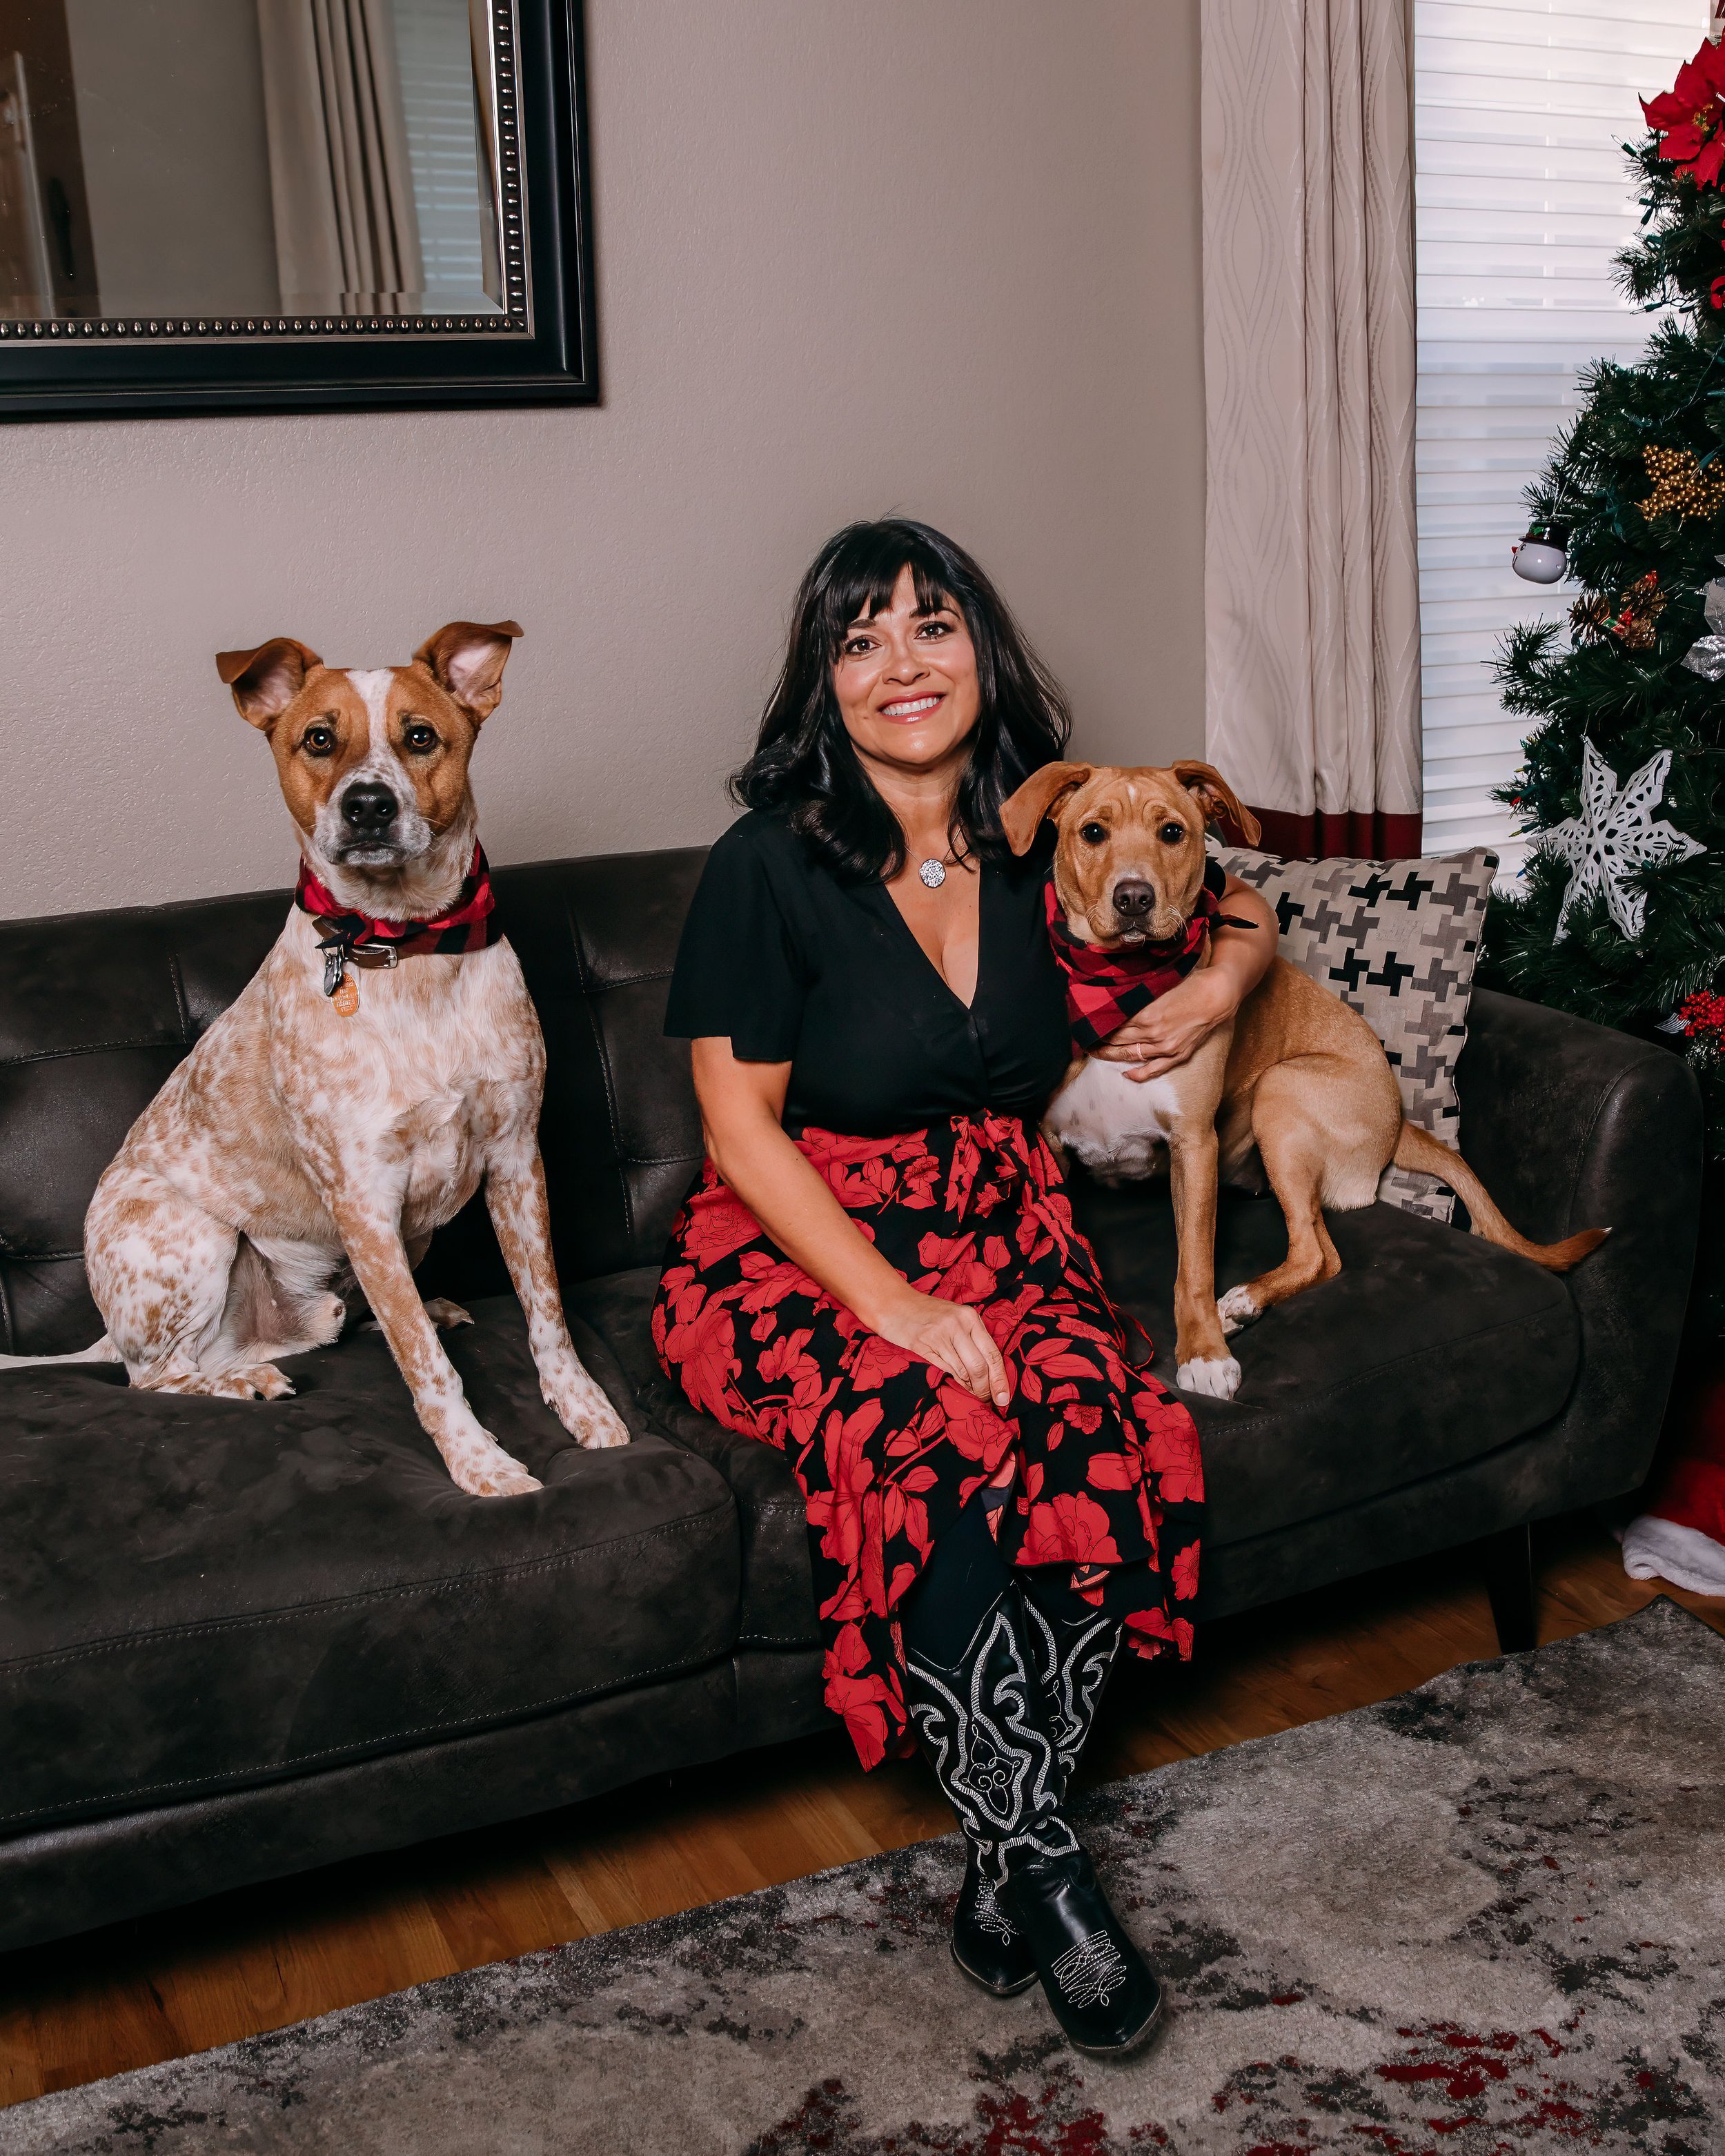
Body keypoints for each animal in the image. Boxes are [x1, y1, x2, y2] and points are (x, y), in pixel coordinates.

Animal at [0, 621, 629, 1495]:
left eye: (420, 736)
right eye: (319, 740)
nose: (367, 804)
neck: (407, 952)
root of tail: (106, 1332)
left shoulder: (514, 1161)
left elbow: (548, 1314)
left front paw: (583, 1407)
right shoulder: (363, 1200)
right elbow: (426, 1365)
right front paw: (479, 1462)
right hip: (191, 1235)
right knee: (155, 1376)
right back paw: (243, 1380)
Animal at [1001, 759, 1607, 1402]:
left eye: (1172, 833)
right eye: (1093, 833)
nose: (1135, 897)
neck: (1124, 992)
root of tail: (1400, 1119)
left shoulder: (1195, 1144)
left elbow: (1193, 1267)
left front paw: (1203, 1352)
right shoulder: (1049, 1146)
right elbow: (1066, 1244)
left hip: (1280, 1090)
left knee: (1320, 1254)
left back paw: (1243, 1301)